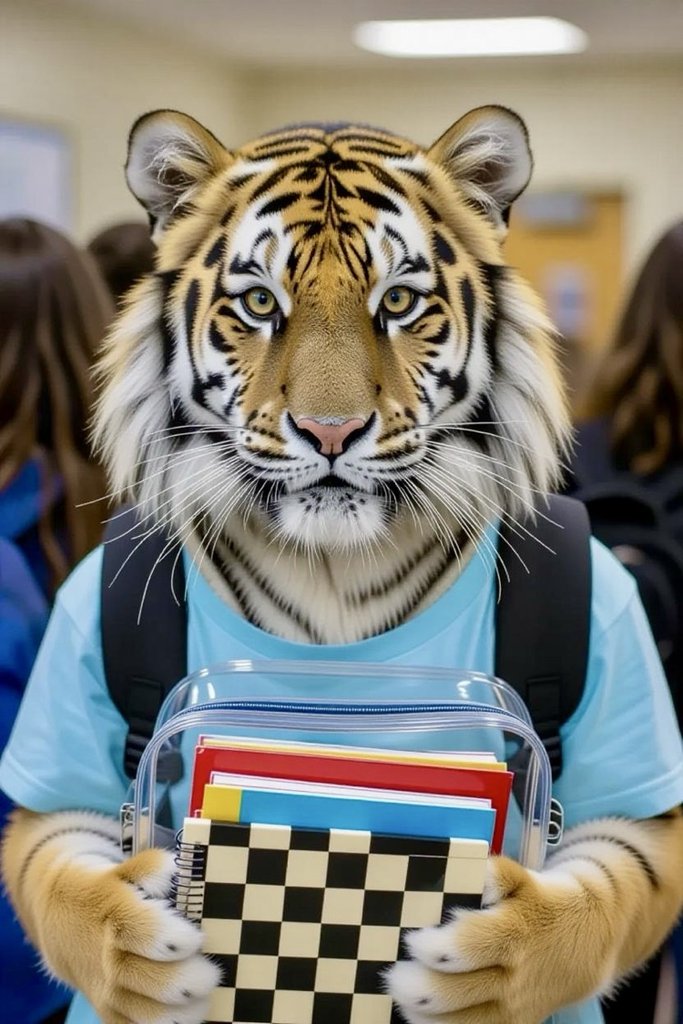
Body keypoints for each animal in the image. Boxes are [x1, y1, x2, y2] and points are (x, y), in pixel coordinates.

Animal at [1, 105, 682, 1024]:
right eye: (258, 302)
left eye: (397, 301)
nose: (330, 433)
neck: (332, 568)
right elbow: (63, 842)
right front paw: (135, 953)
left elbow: (610, 870)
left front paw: (497, 963)